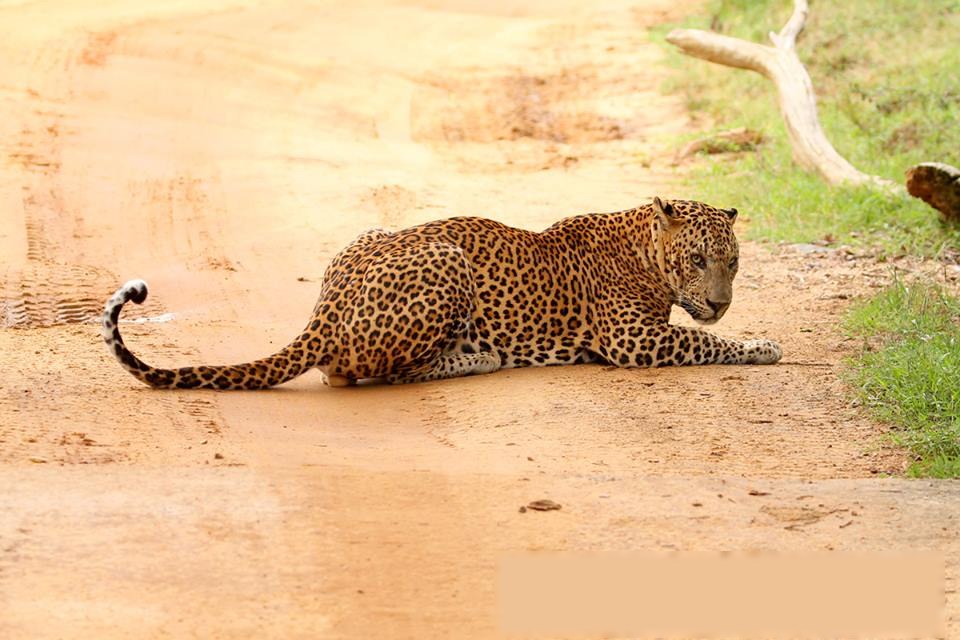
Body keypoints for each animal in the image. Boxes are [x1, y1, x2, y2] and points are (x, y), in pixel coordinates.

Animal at [102, 197, 781, 389]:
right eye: (698, 260)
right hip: (448, 260)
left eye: (734, 262)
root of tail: (323, 311)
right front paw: (763, 346)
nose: (721, 302)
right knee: (367, 373)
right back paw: (478, 357)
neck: (643, 248)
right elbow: (706, 344)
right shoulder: (634, 339)